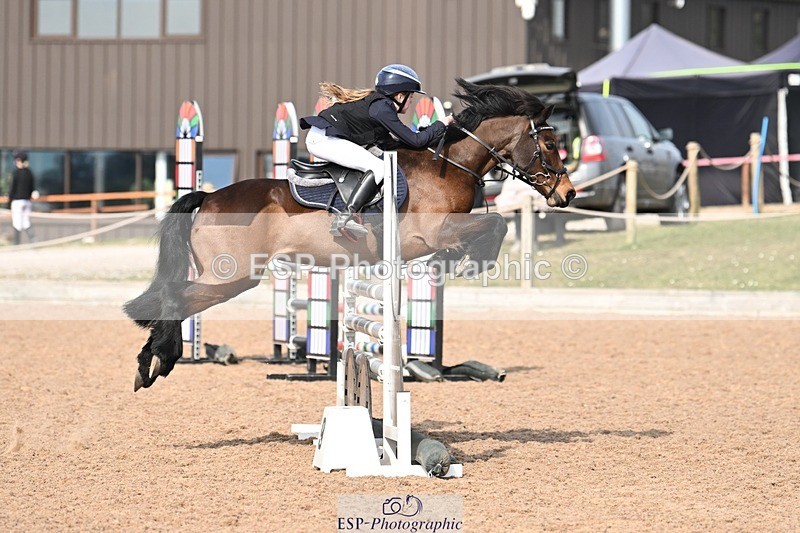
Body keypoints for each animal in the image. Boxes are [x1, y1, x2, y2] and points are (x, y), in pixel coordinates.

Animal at [124, 79, 576, 391]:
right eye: (550, 145)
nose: (568, 193)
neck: (449, 164)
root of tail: (210, 196)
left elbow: (494, 225)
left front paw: (461, 260)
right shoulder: (435, 231)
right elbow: (496, 224)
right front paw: (468, 261)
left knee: (177, 297)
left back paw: (150, 360)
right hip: (231, 275)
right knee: (176, 298)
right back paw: (159, 361)